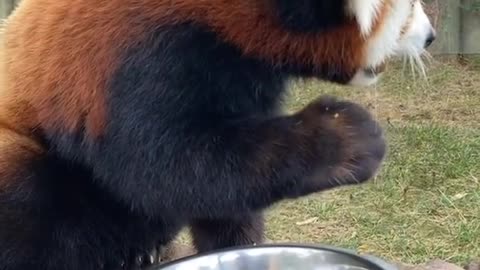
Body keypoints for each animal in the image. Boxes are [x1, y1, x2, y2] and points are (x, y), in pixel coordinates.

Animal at [0, 0, 436, 268]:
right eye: (410, 9)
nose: (431, 36)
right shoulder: (142, 51)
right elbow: (164, 168)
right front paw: (344, 136)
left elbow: (229, 191)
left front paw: (241, 245)